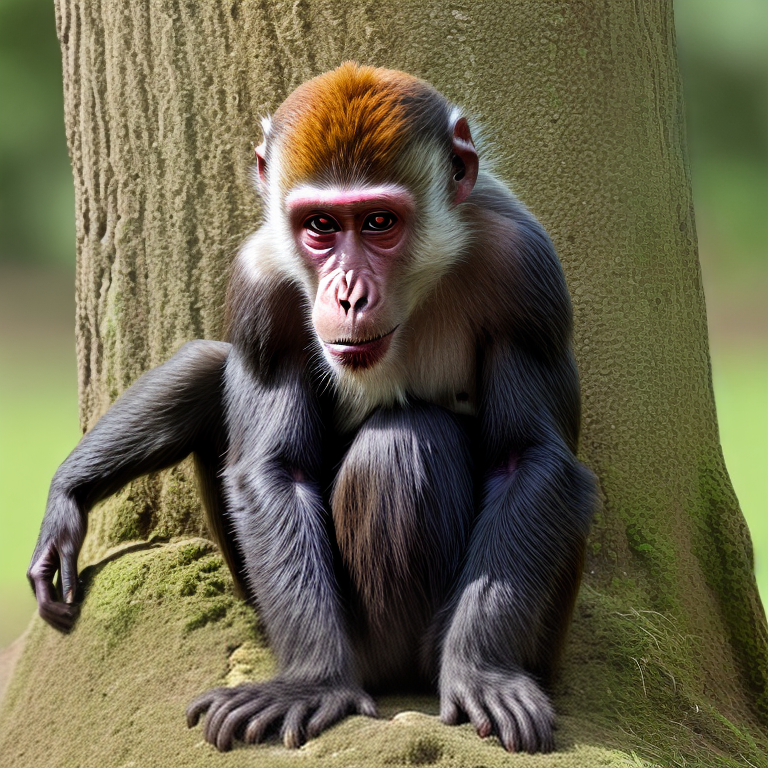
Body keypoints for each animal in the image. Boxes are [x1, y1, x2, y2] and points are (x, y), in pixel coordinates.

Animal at [27, 63, 596, 754]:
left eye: (378, 221)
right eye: (321, 226)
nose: (347, 294)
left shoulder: (525, 276)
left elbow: (527, 457)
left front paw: (480, 669)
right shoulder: (259, 287)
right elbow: (276, 465)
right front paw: (312, 679)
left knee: (402, 438)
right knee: (219, 374)